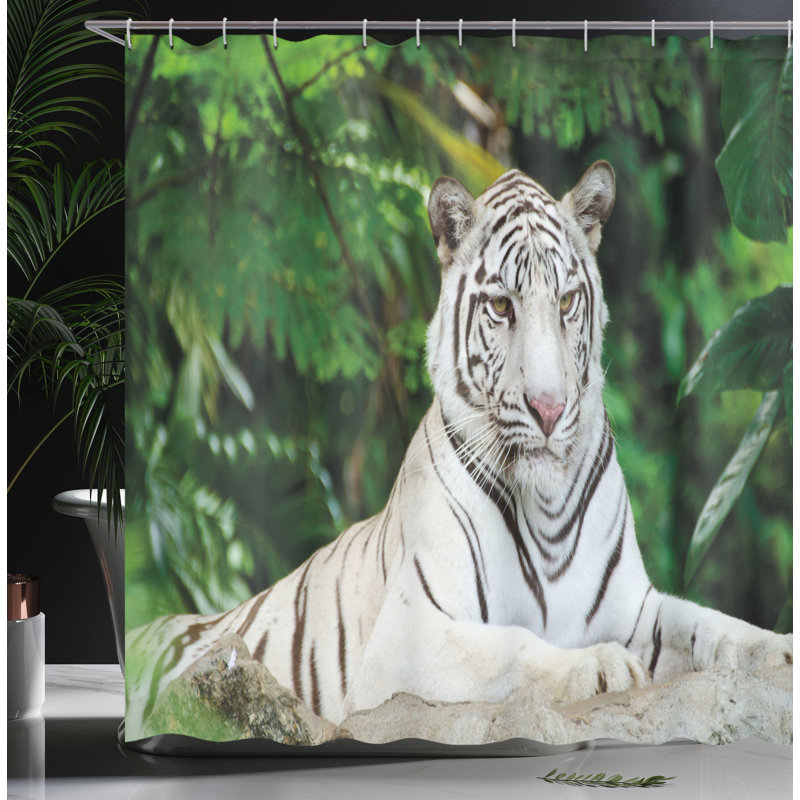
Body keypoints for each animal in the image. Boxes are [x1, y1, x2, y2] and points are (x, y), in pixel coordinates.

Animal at [125, 162, 792, 742]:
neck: (545, 505)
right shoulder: (409, 636)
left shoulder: (635, 608)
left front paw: (779, 650)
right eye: (501, 306)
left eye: (567, 302)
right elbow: (513, 646)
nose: (549, 409)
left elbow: (710, 625)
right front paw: (600, 666)